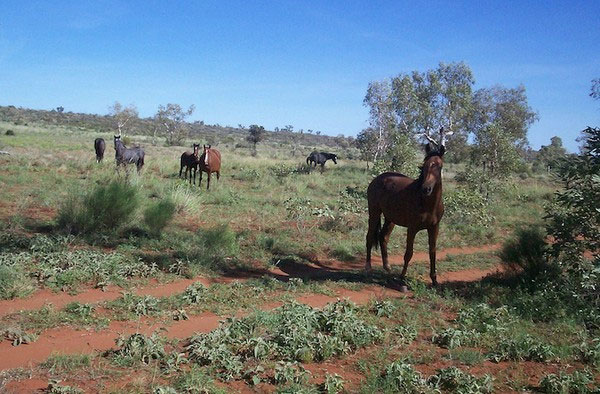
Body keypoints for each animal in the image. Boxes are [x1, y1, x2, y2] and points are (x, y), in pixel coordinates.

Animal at [366, 143, 446, 284]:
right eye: (424, 165)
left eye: (439, 166)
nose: (426, 189)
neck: (427, 204)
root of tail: (376, 179)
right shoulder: (412, 228)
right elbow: (409, 253)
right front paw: (402, 277)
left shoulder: (434, 227)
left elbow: (432, 252)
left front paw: (434, 280)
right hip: (374, 212)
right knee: (370, 236)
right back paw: (368, 266)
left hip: (390, 218)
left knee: (383, 237)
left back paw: (387, 267)